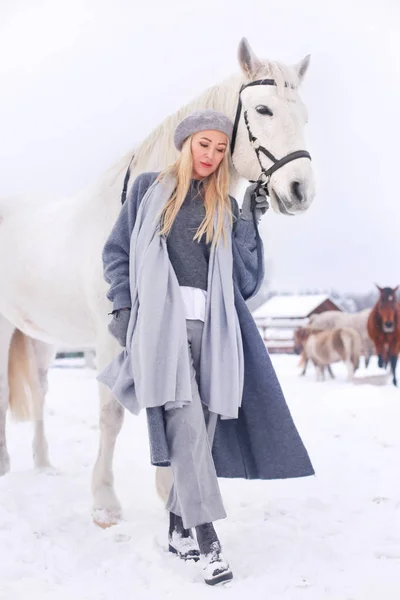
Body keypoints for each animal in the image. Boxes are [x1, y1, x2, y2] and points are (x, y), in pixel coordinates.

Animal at [0, 38, 316, 524]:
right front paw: (105, 501)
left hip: (40, 338)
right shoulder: (112, 337)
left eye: (304, 116)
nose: (302, 191)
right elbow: (112, 412)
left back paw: (43, 463)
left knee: (38, 390)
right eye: (263, 109)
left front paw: (172, 493)